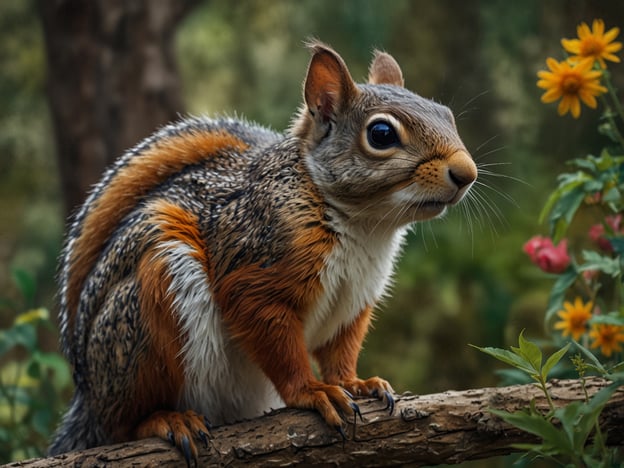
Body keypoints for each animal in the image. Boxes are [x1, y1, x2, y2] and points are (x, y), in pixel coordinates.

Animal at [50, 41, 478, 460]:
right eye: (382, 134)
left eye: (446, 114)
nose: (467, 173)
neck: (363, 227)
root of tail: (88, 403)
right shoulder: (255, 268)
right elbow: (278, 344)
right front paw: (312, 392)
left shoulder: (355, 300)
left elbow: (340, 350)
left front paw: (356, 383)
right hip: (148, 309)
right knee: (123, 423)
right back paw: (166, 420)